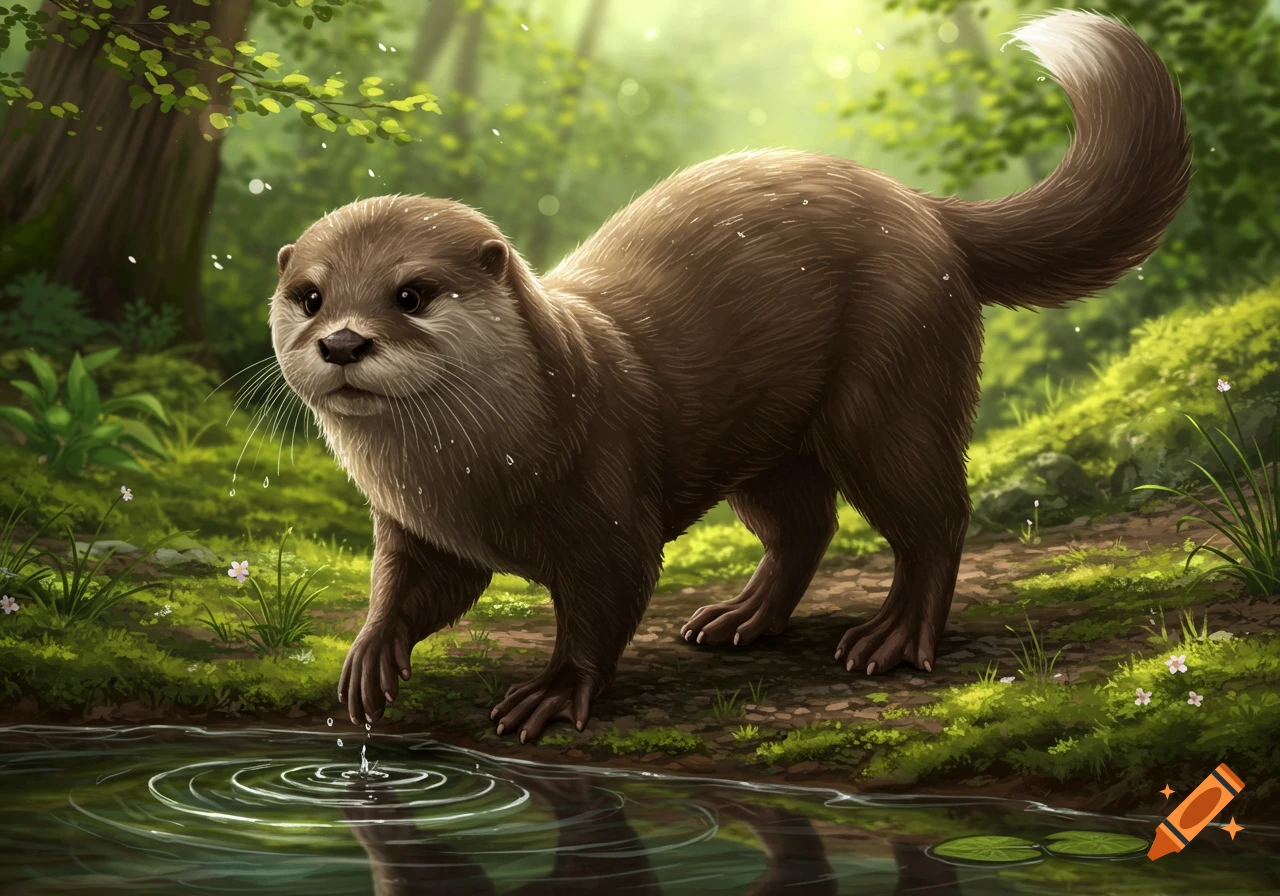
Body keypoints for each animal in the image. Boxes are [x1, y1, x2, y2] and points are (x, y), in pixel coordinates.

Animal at [270, 11, 1189, 741]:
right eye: (310, 295)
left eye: (412, 294)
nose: (342, 341)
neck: (471, 480)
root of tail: (925, 207)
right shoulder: (416, 529)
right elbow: (413, 589)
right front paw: (368, 657)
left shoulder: (609, 510)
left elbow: (606, 601)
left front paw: (553, 693)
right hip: (771, 448)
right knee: (804, 526)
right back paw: (739, 620)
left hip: (892, 388)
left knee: (934, 516)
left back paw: (891, 640)